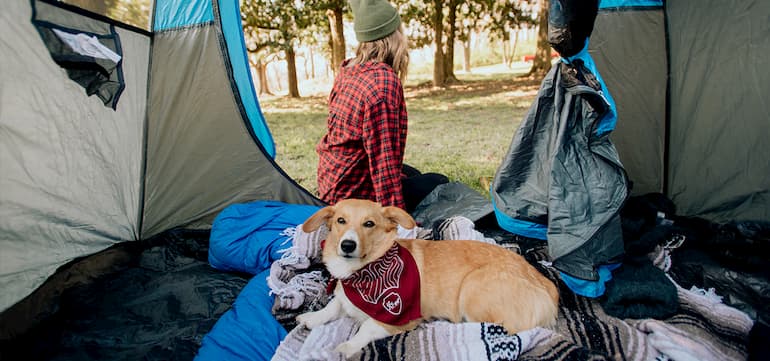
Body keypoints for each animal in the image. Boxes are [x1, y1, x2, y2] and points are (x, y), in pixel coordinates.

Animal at [296, 200, 560, 358]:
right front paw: (312, 318)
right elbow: (333, 306)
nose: (347, 245)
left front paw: (347, 346)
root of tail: (548, 287)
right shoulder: (344, 298)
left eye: (368, 224)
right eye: (340, 221)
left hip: (472, 290)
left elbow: (366, 327)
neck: (363, 274)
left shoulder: (396, 318)